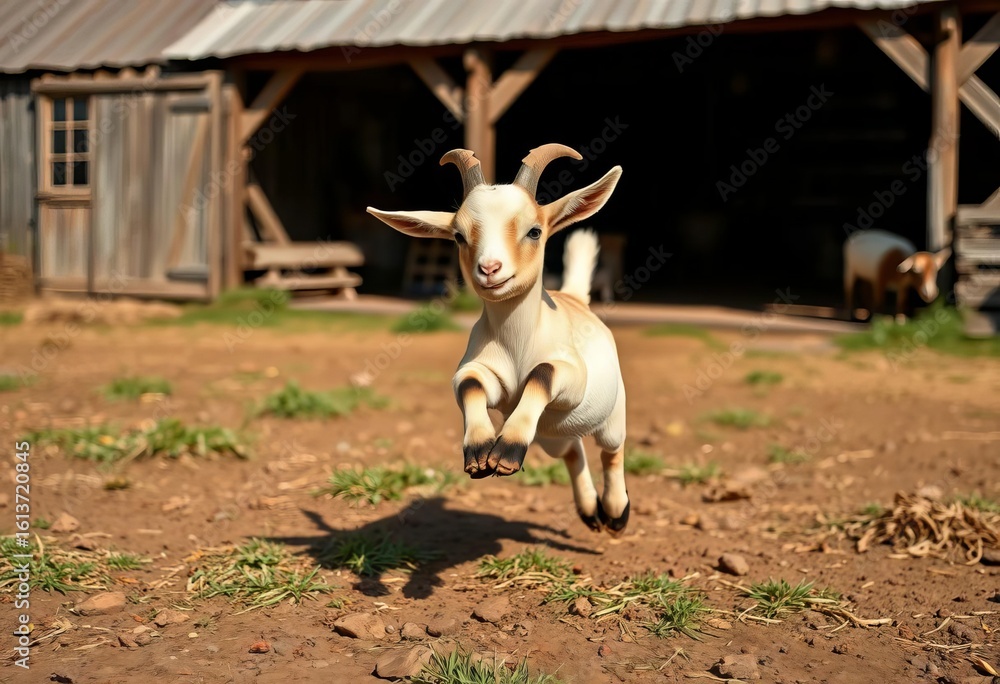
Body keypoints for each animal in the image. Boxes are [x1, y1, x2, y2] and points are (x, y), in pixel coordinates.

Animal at [367, 144, 630, 535]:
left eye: (534, 231)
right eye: (458, 236)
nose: (490, 269)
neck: (517, 344)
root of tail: (575, 298)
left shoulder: (572, 377)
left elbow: (542, 373)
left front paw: (506, 450)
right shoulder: (486, 377)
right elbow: (470, 384)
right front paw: (480, 454)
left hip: (611, 415)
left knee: (611, 451)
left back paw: (615, 514)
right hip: (552, 435)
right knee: (572, 451)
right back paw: (589, 512)